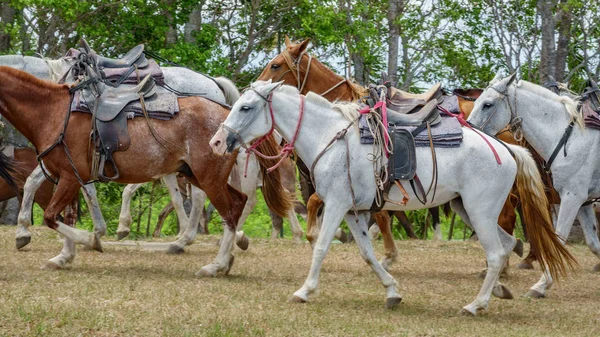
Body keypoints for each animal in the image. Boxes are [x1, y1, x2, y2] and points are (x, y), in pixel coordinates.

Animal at [209, 81, 576, 316]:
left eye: (246, 107)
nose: (216, 142)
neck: (329, 137)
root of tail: (506, 148)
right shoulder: (355, 211)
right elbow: (368, 254)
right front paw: (392, 291)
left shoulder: (337, 205)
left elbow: (322, 247)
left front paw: (304, 291)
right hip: (467, 209)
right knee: (508, 243)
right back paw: (499, 290)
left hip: (480, 212)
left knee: (498, 252)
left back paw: (476, 304)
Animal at [468, 73, 600, 296]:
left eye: (487, 104)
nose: (468, 130)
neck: (570, 137)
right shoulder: (583, 202)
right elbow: (593, 244)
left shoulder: (571, 198)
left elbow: (558, 240)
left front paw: (541, 285)